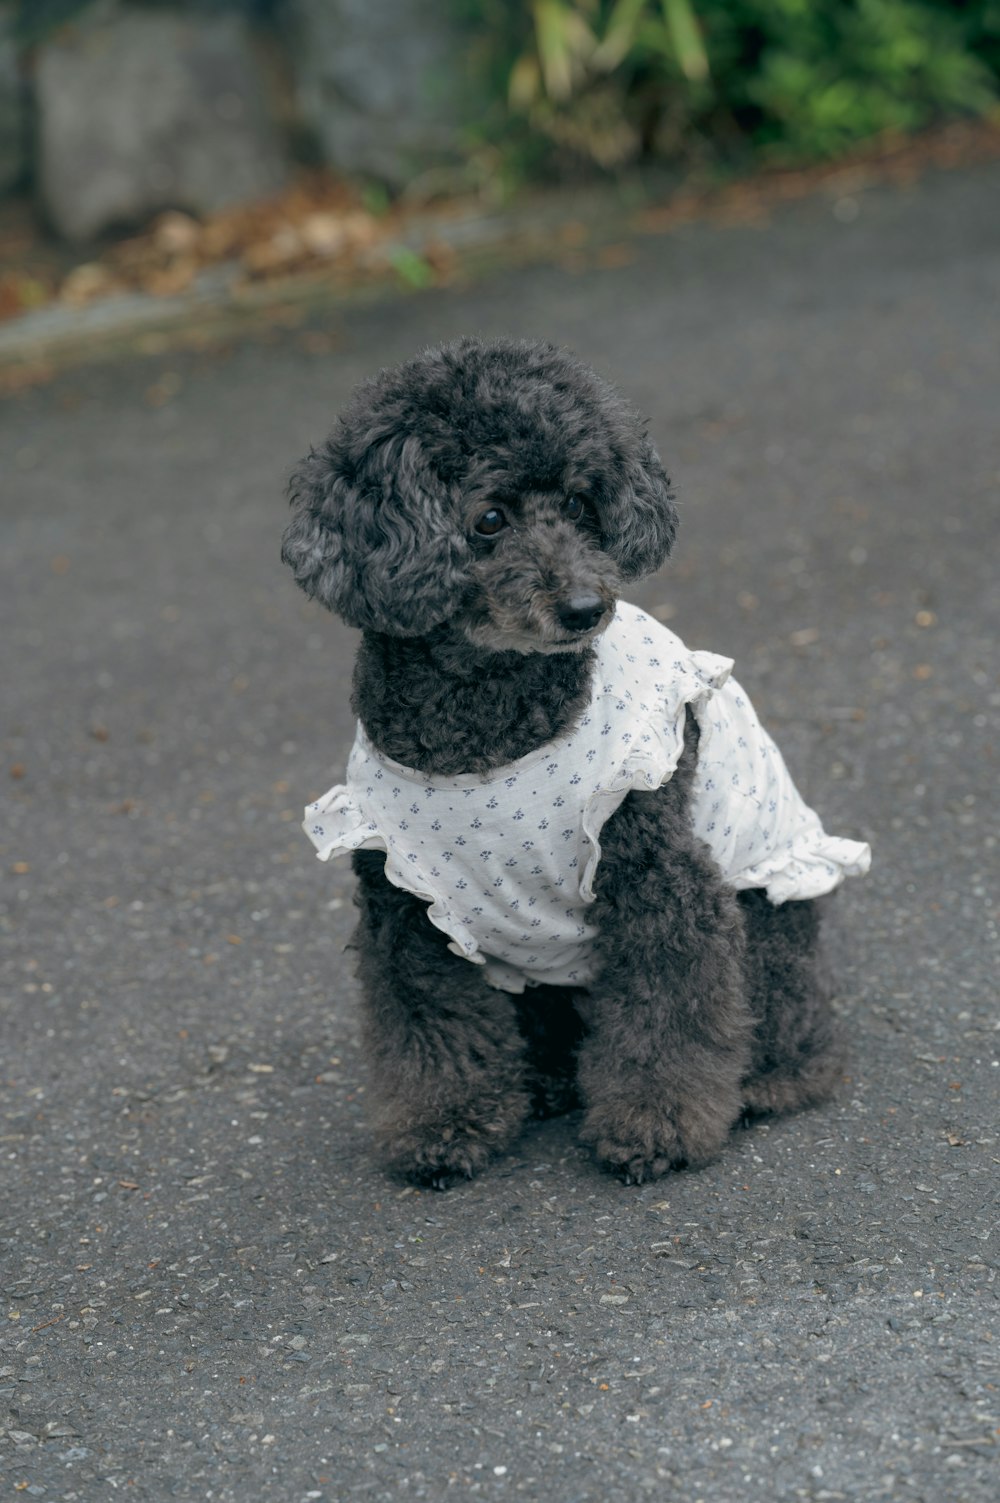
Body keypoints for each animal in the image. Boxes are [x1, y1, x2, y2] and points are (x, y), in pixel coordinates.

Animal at [281, 338, 866, 1184]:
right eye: (490, 518)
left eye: (584, 504)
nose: (588, 606)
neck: (485, 723)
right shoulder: (404, 905)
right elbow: (429, 1021)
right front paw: (442, 1123)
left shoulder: (658, 877)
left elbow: (668, 1004)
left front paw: (657, 1124)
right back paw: (550, 1083)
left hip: (767, 913)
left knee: (790, 1011)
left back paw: (773, 1079)